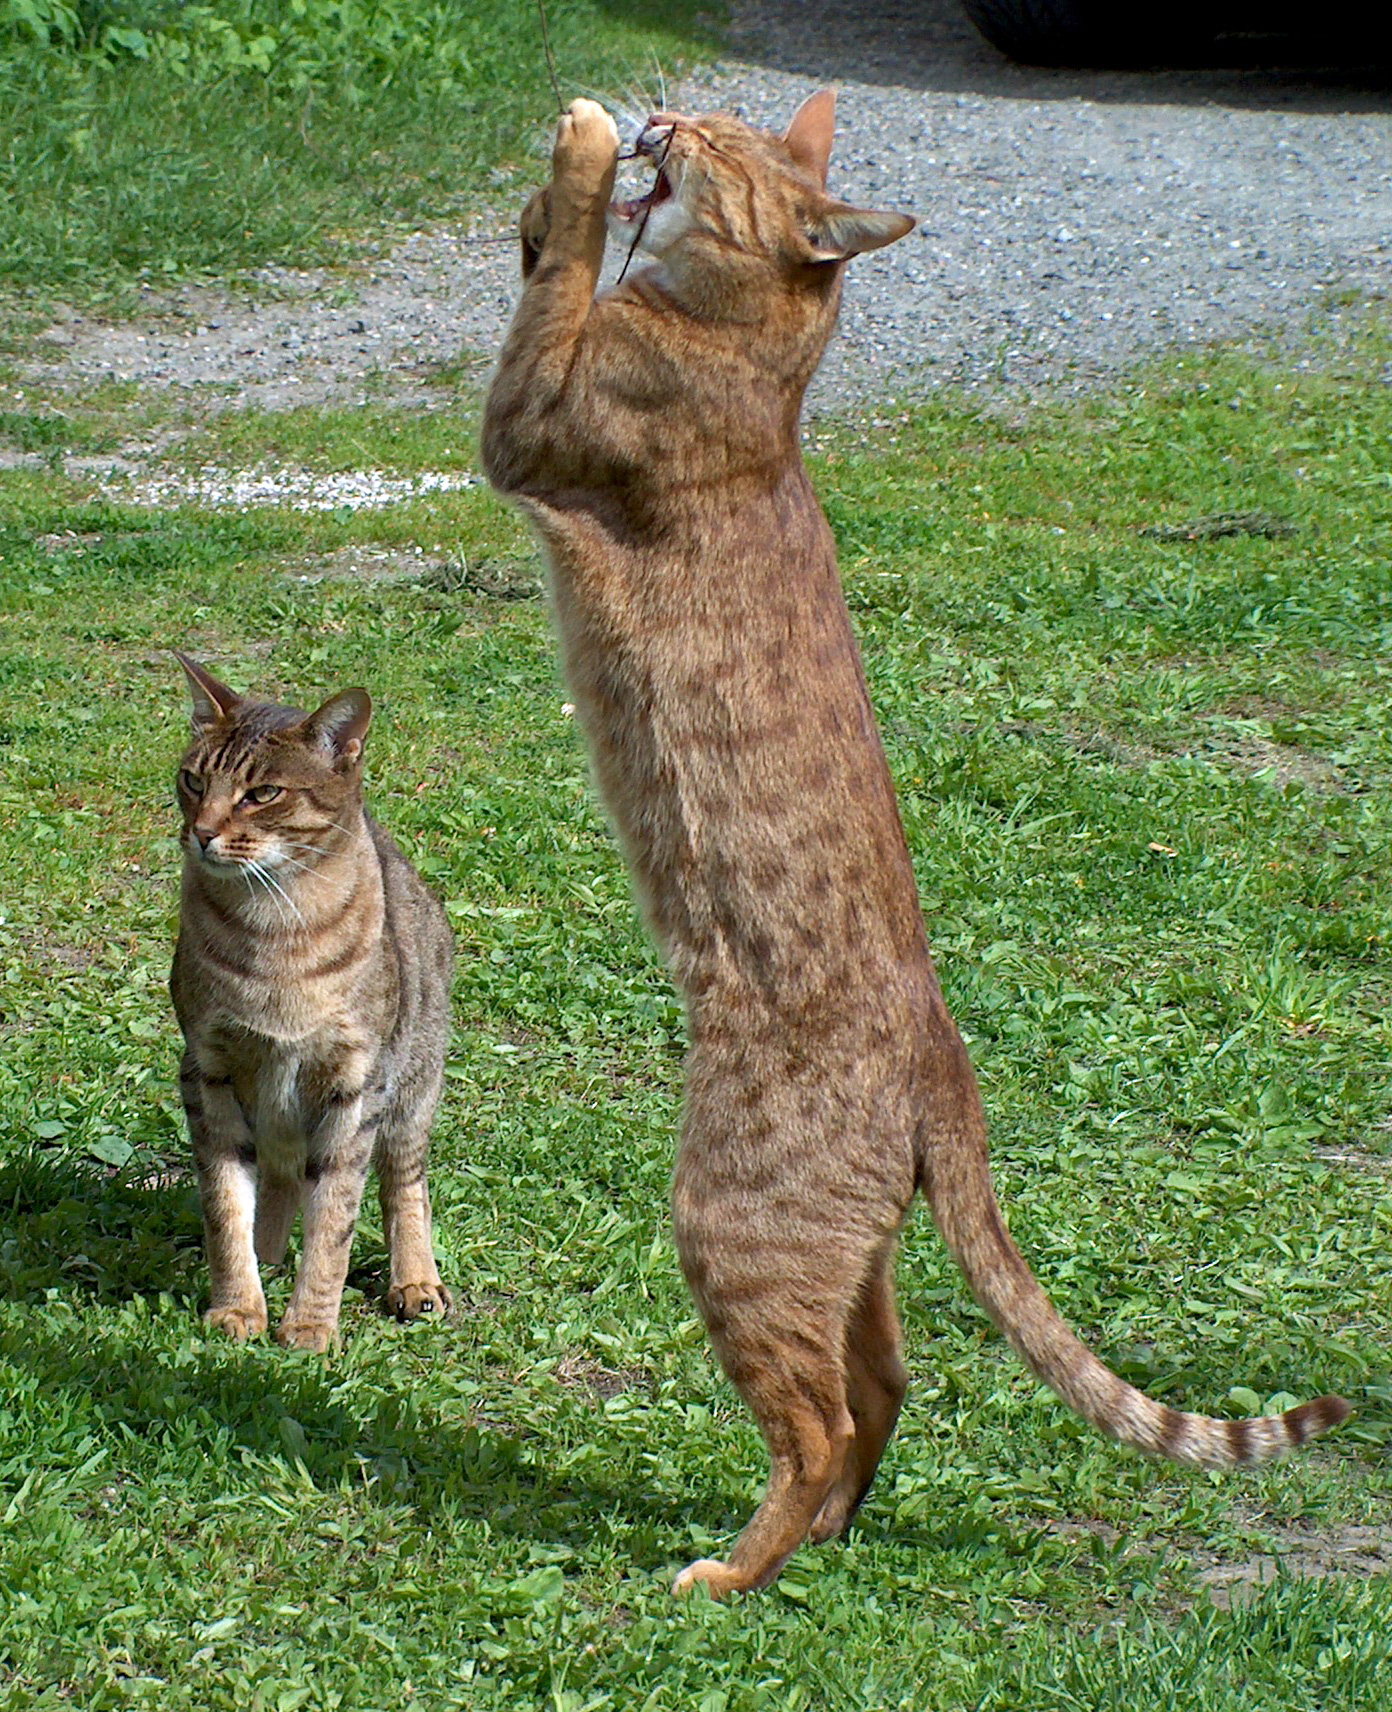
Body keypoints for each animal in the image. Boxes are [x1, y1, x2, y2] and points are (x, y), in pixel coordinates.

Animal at [167, 653, 452, 1349]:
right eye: (193, 780)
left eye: (262, 794)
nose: (201, 833)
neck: (274, 931)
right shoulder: (208, 1071)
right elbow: (225, 1204)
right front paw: (239, 1306)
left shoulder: (356, 1086)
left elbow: (334, 1221)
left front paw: (310, 1324)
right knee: (278, 1178)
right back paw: (268, 1260)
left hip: (414, 1087)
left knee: (404, 1182)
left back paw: (415, 1280)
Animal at [482, 90, 1349, 1588]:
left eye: (713, 134)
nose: (662, 109)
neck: (762, 354)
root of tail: (945, 1055)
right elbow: (550, 256)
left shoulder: (529, 425)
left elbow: (563, 269)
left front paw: (584, 151)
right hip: (847, 1256)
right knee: (884, 1386)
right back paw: (824, 1536)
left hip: (733, 1225)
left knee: (819, 1418)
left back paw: (734, 1570)